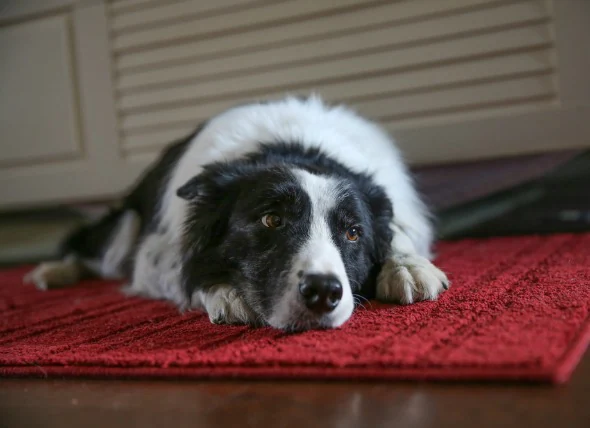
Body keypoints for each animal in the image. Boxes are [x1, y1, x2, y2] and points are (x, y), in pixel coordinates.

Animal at [24, 97, 448, 332]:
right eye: (272, 220)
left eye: (353, 233)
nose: (324, 293)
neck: (295, 147)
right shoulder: (155, 253)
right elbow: (186, 271)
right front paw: (225, 292)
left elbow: (398, 233)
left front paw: (407, 265)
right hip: (122, 228)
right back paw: (54, 271)